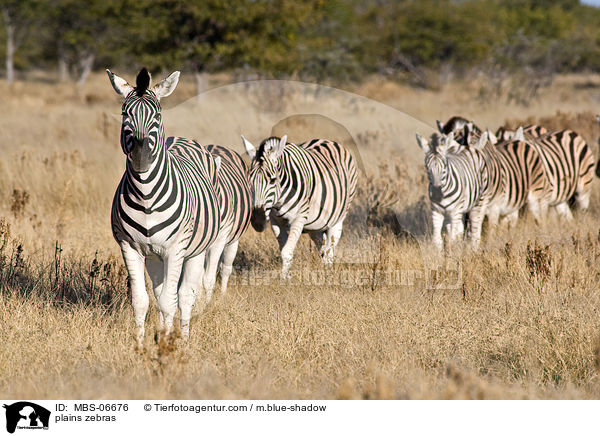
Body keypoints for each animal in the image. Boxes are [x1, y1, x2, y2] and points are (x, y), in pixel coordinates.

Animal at [106, 68, 223, 348]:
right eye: (125, 114)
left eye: (157, 116)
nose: (140, 159)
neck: (146, 196)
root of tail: (181, 138)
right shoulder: (129, 247)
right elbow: (142, 301)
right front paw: (140, 346)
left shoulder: (175, 249)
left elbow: (171, 301)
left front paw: (168, 346)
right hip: (154, 257)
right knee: (159, 293)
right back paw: (161, 332)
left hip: (195, 251)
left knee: (186, 296)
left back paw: (183, 338)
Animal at [241, 136, 358, 278]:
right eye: (250, 180)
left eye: (273, 180)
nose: (258, 220)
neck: (279, 201)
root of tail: (328, 141)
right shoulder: (276, 222)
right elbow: (284, 250)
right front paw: (286, 276)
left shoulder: (299, 218)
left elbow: (286, 251)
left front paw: (284, 279)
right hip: (316, 225)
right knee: (322, 246)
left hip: (338, 218)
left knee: (330, 249)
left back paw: (328, 273)